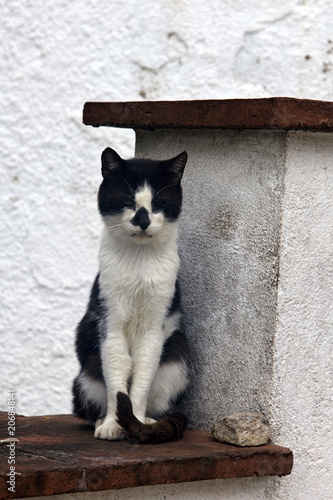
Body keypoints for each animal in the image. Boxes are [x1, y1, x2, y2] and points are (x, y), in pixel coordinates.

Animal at [71, 146, 188, 444]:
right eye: (127, 200)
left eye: (158, 202)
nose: (143, 220)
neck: (139, 261)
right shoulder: (110, 323)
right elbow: (117, 378)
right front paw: (113, 425)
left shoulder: (155, 328)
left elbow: (142, 376)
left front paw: (136, 422)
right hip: (86, 375)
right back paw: (102, 420)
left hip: (176, 360)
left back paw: (149, 422)